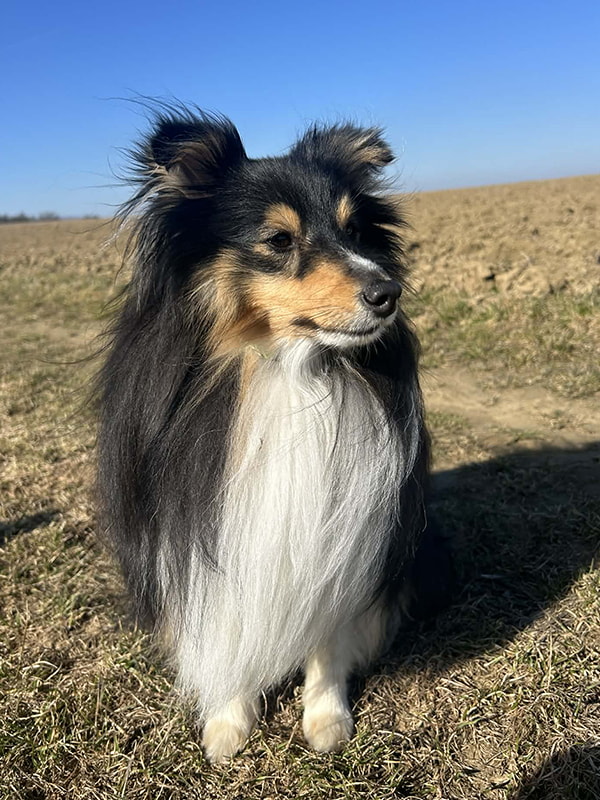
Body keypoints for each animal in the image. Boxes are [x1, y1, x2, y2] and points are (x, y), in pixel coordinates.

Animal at [96, 105, 433, 763]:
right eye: (279, 240)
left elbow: (327, 642)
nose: (389, 293)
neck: (286, 370)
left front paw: (326, 719)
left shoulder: (340, 534)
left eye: (357, 231)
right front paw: (229, 721)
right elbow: (226, 624)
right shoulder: (210, 533)